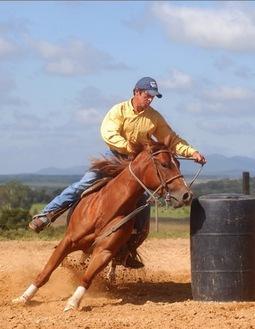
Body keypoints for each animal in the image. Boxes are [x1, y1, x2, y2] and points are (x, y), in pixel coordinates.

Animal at [11, 140, 191, 310]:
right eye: (164, 164)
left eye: (178, 163)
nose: (186, 195)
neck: (106, 208)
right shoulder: (67, 241)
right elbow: (46, 271)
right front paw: (23, 298)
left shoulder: (104, 251)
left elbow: (87, 276)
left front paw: (72, 303)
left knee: (115, 260)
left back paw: (111, 276)